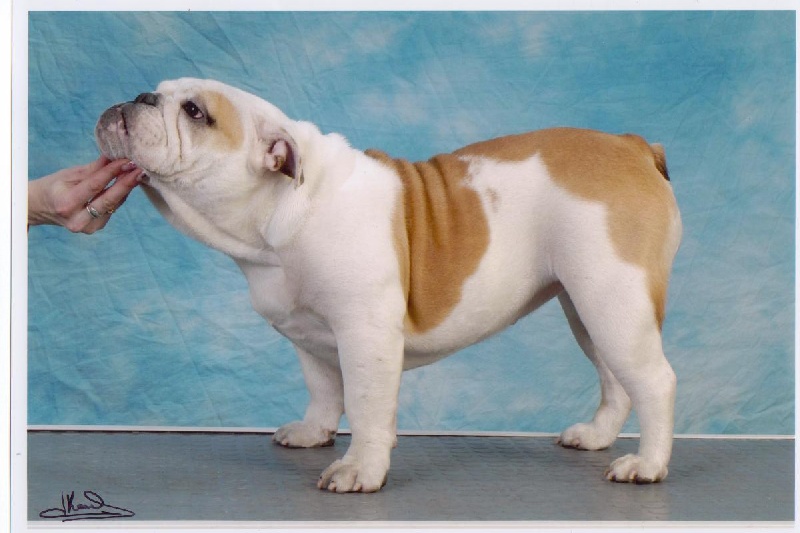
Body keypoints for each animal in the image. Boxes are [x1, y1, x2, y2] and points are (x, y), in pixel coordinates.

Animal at [95, 78, 682, 493]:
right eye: (156, 90)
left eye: (195, 112)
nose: (141, 96)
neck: (282, 216)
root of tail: (633, 147)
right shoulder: (307, 335)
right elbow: (323, 389)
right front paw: (314, 433)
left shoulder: (365, 335)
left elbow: (365, 403)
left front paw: (359, 470)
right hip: (588, 306)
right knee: (616, 379)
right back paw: (596, 437)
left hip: (612, 297)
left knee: (654, 381)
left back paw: (647, 464)